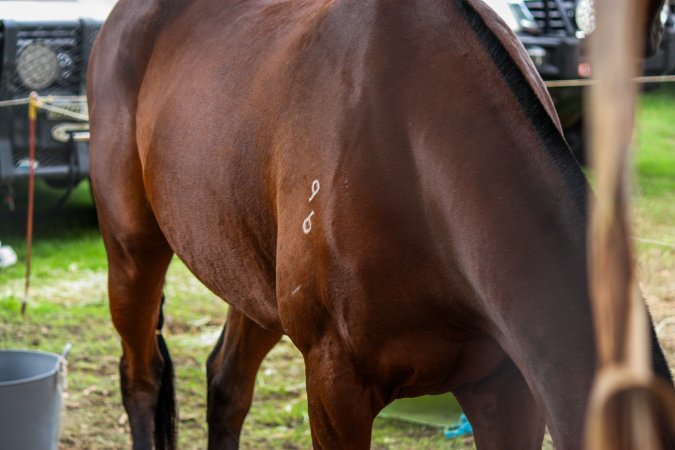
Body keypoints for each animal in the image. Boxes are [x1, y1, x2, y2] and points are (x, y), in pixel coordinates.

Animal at [87, 0, 673, 449]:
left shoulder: (509, 391)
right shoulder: (335, 389)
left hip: (252, 279)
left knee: (227, 386)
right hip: (133, 251)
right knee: (140, 378)